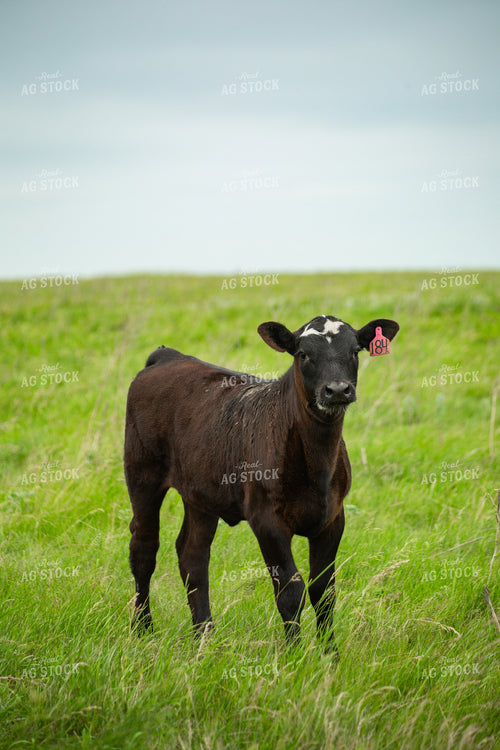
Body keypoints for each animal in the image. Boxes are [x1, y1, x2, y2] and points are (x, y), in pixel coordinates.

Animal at [125, 314, 399, 650]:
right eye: (303, 354)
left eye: (354, 351)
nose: (336, 390)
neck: (316, 462)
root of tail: (168, 356)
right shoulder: (266, 519)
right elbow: (291, 590)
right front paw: (295, 654)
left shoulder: (333, 517)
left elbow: (323, 590)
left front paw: (329, 654)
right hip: (142, 473)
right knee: (144, 547)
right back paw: (143, 629)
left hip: (200, 492)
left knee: (193, 556)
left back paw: (204, 636)